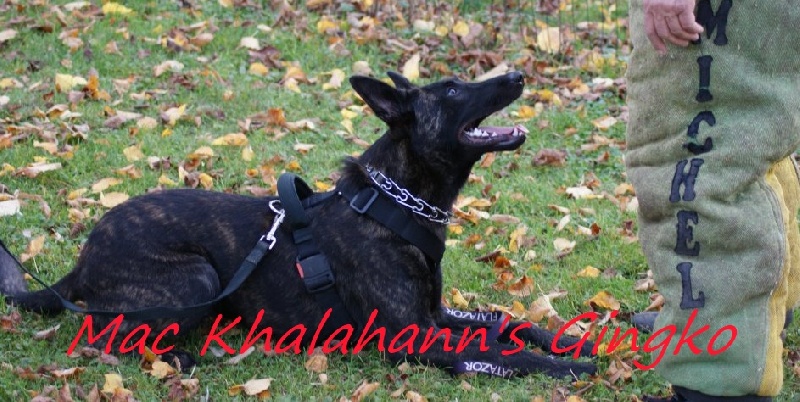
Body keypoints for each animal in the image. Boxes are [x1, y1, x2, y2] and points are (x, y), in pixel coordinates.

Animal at [0, 71, 595, 379]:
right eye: (451, 90)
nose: (517, 75)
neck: (396, 203)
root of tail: (82, 260)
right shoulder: (414, 335)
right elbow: (497, 351)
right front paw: (566, 371)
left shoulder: (436, 315)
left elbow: (508, 323)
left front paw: (579, 342)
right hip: (195, 278)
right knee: (105, 336)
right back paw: (177, 357)